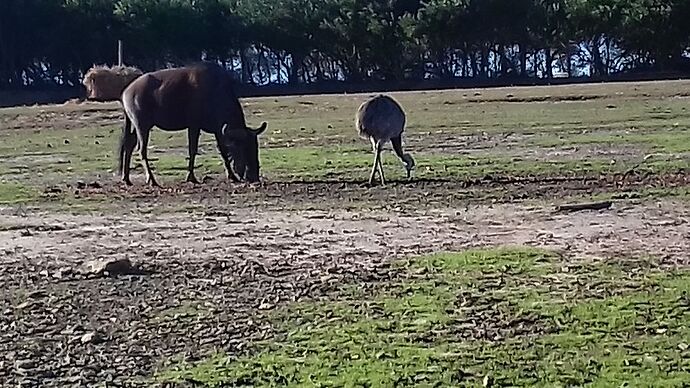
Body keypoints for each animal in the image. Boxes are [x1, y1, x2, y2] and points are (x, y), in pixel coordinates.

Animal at [115, 62, 266, 186]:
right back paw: (151, 179)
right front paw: (191, 177)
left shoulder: (218, 130)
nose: (253, 177)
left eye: (255, 148)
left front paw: (232, 176)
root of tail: (126, 91)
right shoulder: (194, 126)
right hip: (142, 126)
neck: (215, 92)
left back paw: (126, 178)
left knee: (128, 145)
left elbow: (223, 151)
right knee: (142, 150)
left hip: (137, 126)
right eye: (242, 148)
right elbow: (192, 150)